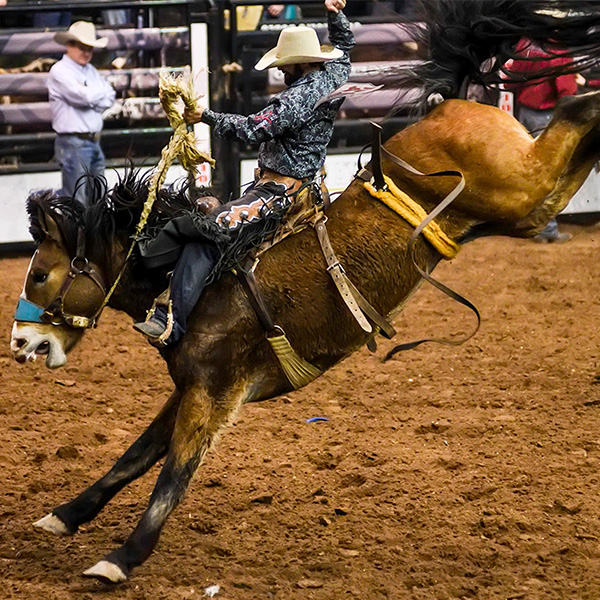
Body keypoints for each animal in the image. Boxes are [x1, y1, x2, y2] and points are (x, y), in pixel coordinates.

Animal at [9, 0, 600, 585]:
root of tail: (451, 104)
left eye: (39, 275)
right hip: (521, 205)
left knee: (576, 113)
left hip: (517, 181)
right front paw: (64, 515)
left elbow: (173, 475)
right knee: (561, 172)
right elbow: (132, 458)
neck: (188, 283)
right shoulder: (188, 386)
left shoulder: (214, 392)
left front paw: (120, 558)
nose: (19, 341)